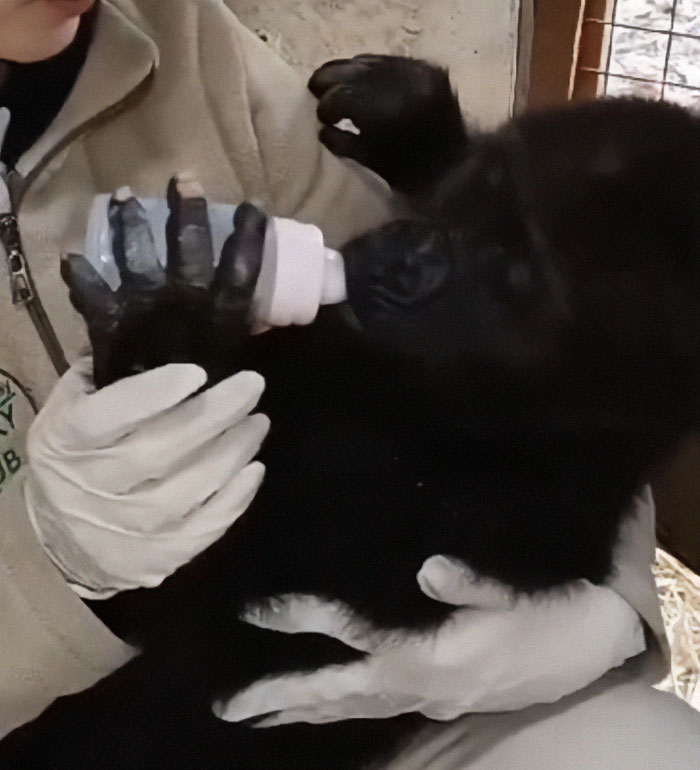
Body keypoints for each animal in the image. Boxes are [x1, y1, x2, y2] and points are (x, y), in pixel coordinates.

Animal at [4, 55, 700, 768]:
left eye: (517, 276)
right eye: (482, 187)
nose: (403, 257)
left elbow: (187, 598)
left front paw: (163, 332)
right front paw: (417, 127)